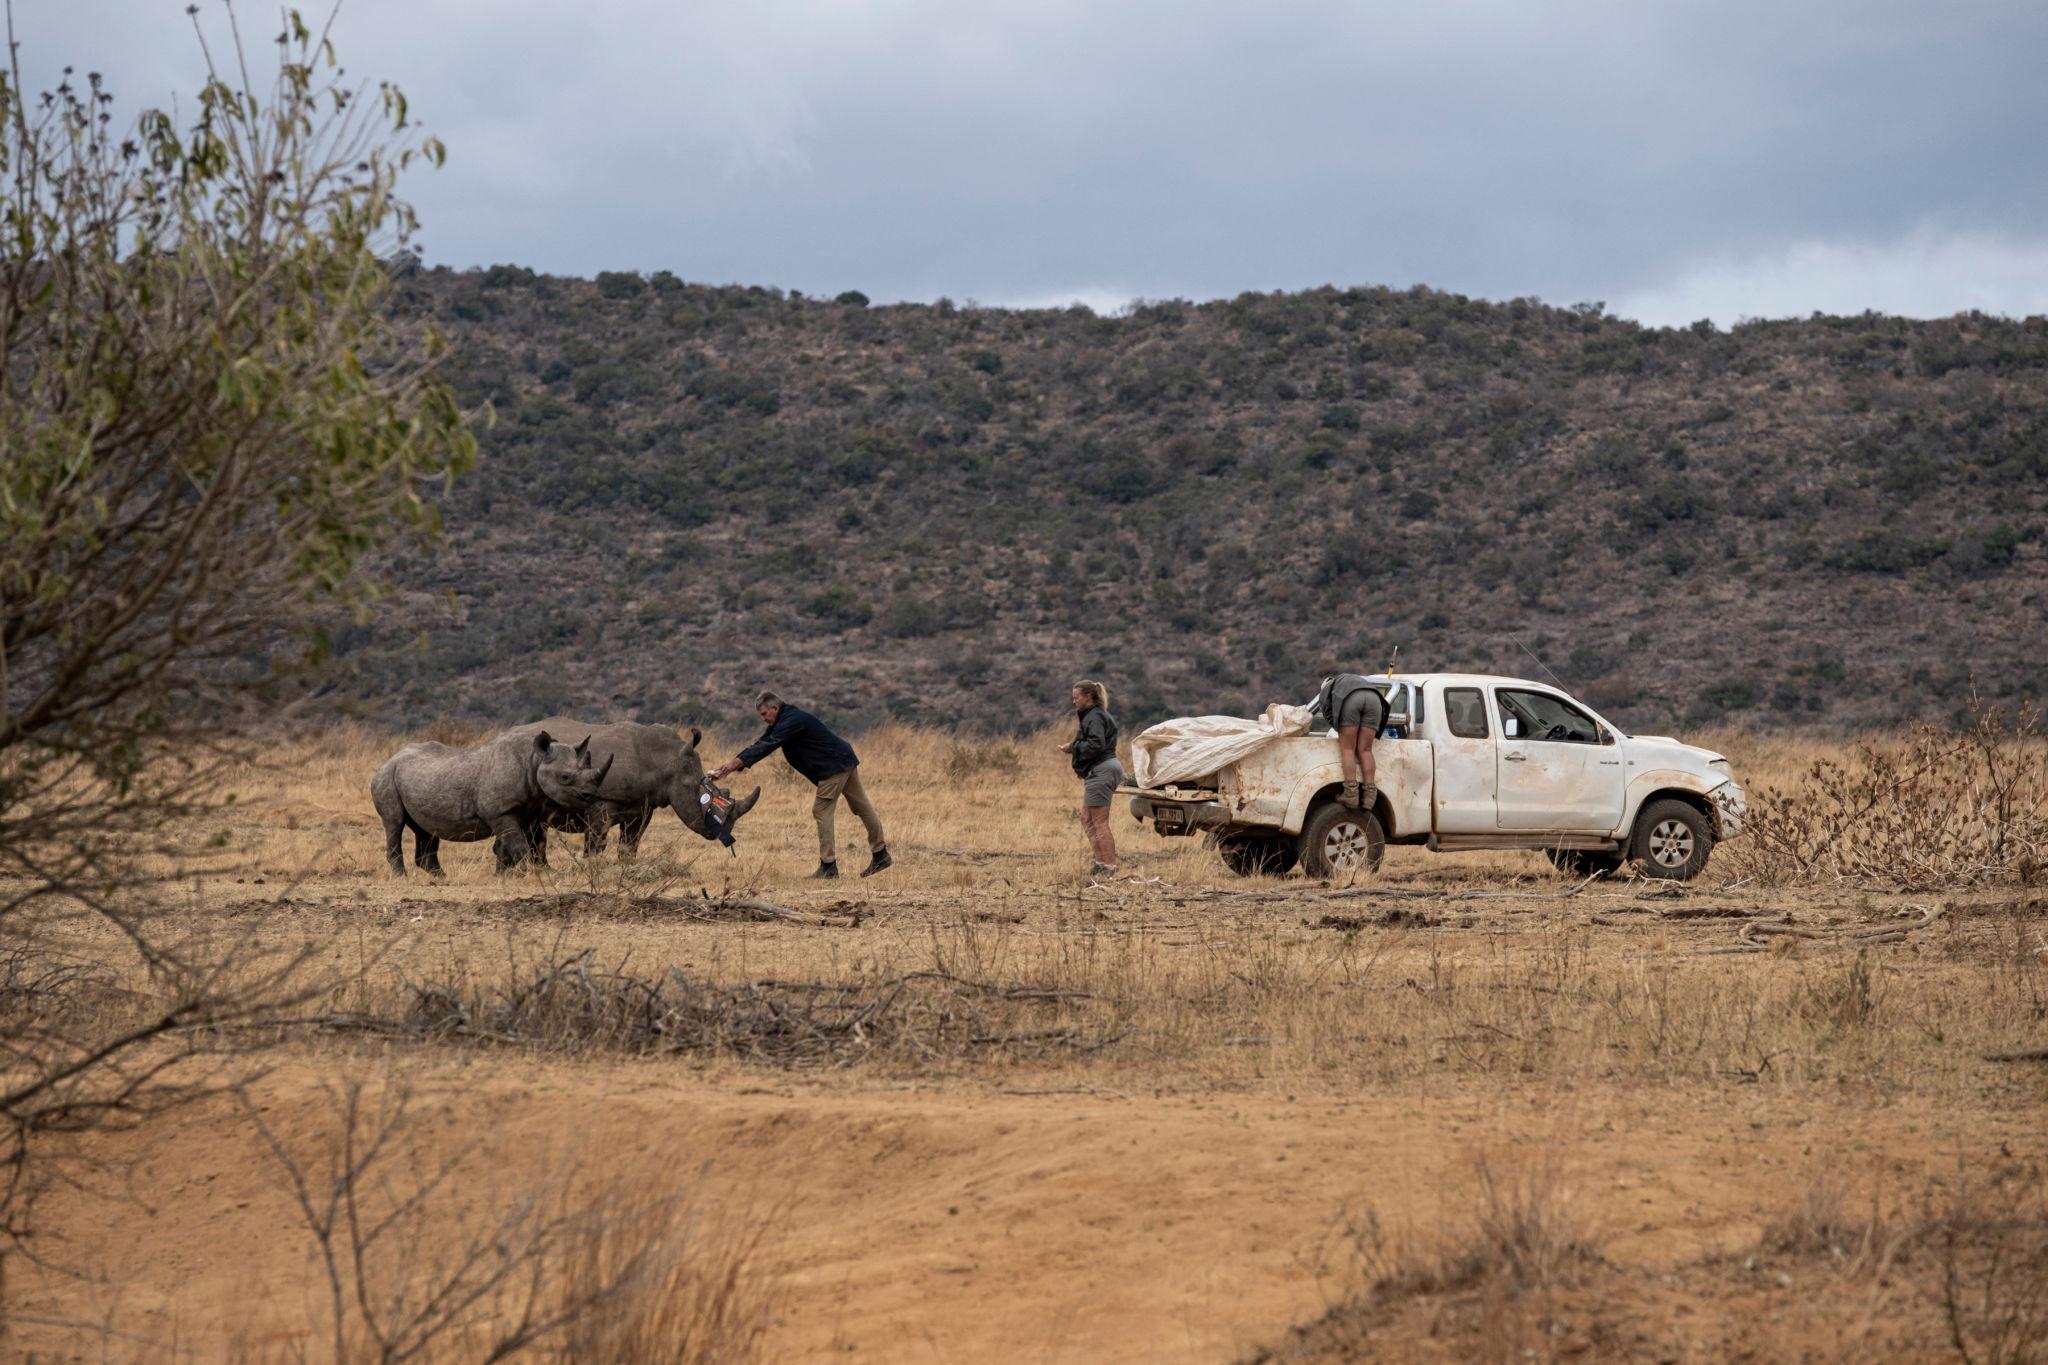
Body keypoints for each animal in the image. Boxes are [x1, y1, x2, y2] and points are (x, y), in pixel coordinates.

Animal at [371, 729, 614, 876]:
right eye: (565, 777)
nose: (591, 796)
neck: (534, 760)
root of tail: (388, 760)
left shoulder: (526, 810)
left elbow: (508, 845)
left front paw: (503, 874)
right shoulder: (500, 812)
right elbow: (518, 844)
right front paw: (525, 873)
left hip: (417, 777)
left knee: (426, 829)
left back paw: (440, 877)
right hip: (386, 778)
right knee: (394, 823)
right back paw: (401, 876)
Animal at [496, 719, 760, 861]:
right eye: (699, 794)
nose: (723, 833)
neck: (666, 759)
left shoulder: (643, 805)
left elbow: (631, 843)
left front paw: (627, 866)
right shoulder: (601, 801)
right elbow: (596, 841)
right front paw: (592, 867)